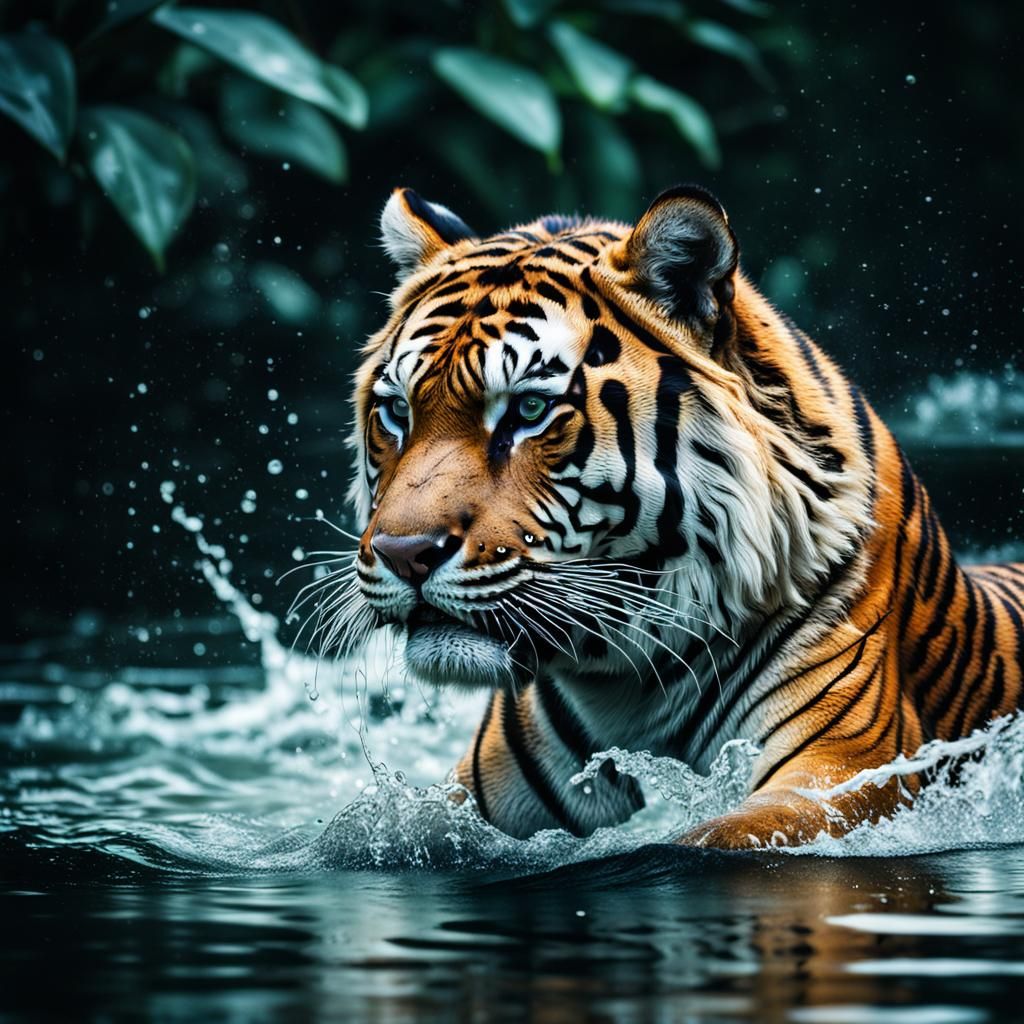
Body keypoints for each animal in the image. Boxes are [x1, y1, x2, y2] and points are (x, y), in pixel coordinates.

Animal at [344, 184, 1024, 849]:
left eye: (530, 410)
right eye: (398, 411)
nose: (404, 555)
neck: (625, 687)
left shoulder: (840, 770)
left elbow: (716, 838)